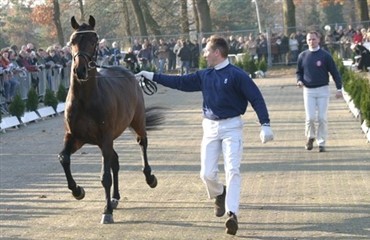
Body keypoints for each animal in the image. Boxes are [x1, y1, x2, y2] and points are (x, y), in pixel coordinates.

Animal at [58, 15, 163, 224]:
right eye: (72, 41)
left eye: (94, 41)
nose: (80, 70)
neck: (86, 99)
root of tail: (130, 73)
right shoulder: (75, 137)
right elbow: (64, 158)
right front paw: (78, 191)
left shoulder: (105, 138)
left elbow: (105, 176)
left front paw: (106, 211)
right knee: (115, 161)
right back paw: (115, 197)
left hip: (136, 123)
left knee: (142, 143)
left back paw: (149, 178)